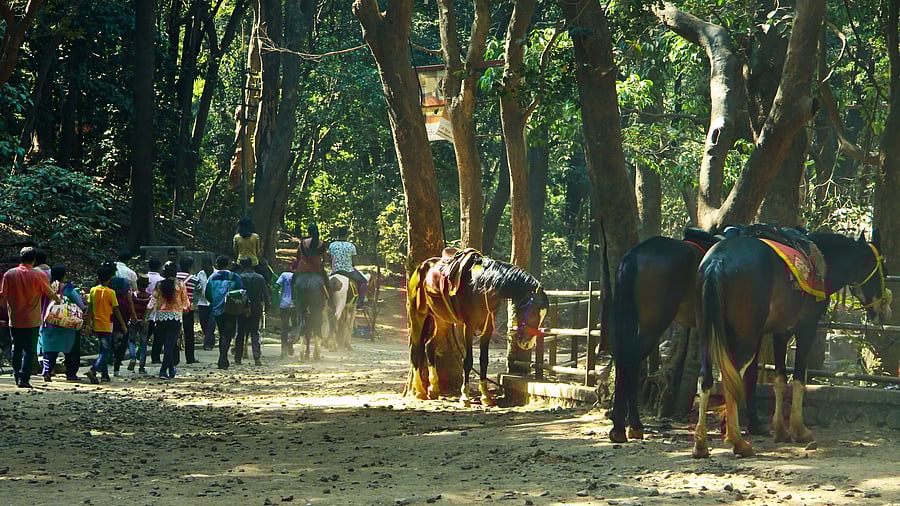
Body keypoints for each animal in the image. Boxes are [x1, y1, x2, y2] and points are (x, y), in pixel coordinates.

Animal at [407, 248, 549, 406]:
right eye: (533, 312)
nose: (528, 344)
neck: (482, 286)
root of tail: (420, 268)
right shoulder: (468, 327)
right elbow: (468, 361)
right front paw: (465, 397)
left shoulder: (488, 329)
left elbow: (484, 360)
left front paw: (485, 396)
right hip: (418, 315)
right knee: (415, 349)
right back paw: (420, 390)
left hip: (441, 320)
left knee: (429, 346)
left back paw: (433, 388)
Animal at [693, 229, 889, 458]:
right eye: (884, 270)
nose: (884, 310)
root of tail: (719, 259)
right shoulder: (806, 329)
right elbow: (798, 379)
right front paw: (799, 430)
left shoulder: (780, 333)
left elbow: (779, 380)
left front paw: (781, 430)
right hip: (745, 338)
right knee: (731, 379)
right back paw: (738, 442)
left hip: (707, 333)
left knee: (706, 378)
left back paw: (701, 444)